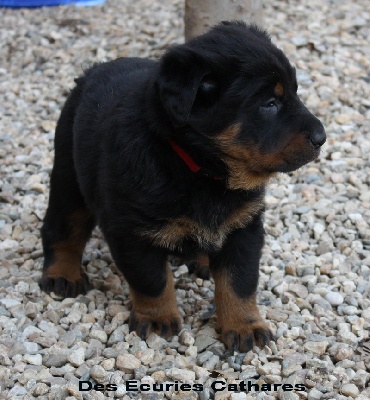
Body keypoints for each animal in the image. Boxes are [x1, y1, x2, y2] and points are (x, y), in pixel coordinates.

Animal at [39, 23, 326, 352]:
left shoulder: (244, 226)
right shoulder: (131, 230)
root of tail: (93, 70)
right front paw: (157, 318)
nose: (322, 137)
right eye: (269, 103)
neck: (202, 171)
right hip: (68, 174)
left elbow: (239, 281)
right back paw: (62, 275)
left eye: (295, 93)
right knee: (62, 228)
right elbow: (152, 280)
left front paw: (244, 326)